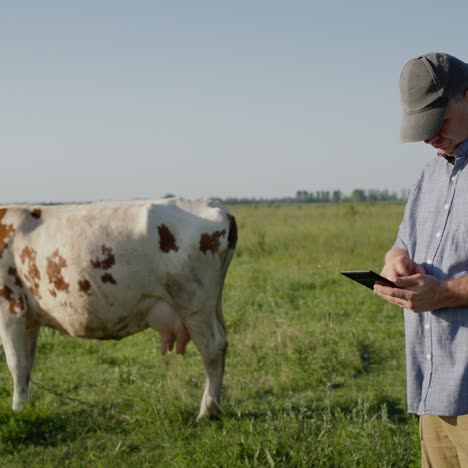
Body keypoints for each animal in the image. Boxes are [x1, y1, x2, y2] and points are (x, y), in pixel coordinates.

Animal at [0, 197, 238, 420]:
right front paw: (26, 407)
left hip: (194, 304)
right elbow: (27, 364)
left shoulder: (10, 307)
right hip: (209, 306)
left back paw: (207, 411)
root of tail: (214, 204)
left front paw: (17, 409)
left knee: (213, 348)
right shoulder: (29, 318)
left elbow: (16, 363)